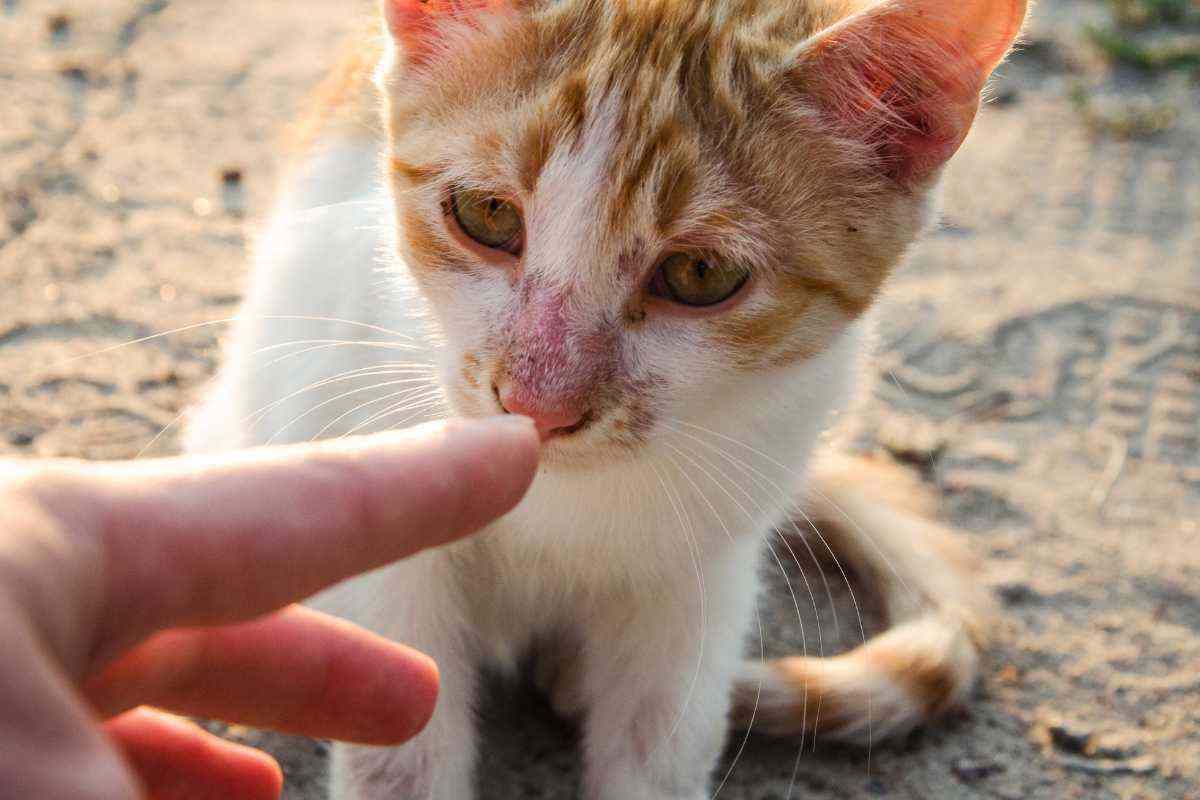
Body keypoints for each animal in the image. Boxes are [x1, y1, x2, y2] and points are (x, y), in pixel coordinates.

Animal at [187, 3, 1032, 796]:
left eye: (700, 275)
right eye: (486, 214)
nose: (538, 403)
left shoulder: (700, 573)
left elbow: (660, 740)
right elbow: (401, 741)